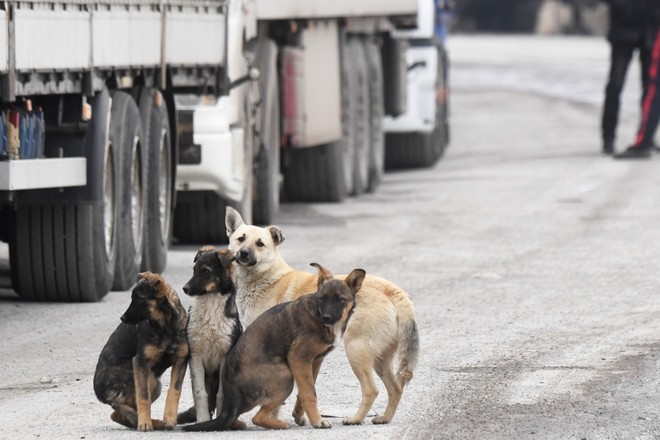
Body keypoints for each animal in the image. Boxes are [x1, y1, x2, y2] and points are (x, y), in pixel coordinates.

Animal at [91, 272, 188, 430]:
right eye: (132, 298)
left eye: (139, 299)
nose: (122, 318)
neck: (165, 326)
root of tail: (99, 394)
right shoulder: (140, 362)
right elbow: (143, 397)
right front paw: (144, 423)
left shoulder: (180, 361)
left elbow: (174, 391)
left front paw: (169, 418)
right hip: (147, 378)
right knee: (124, 411)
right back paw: (149, 422)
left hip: (155, 384)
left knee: (117, 415)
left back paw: (157, 423)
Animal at [177, 246, 244, 424]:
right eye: (194, 270)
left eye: (206, 271)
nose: (185, 289)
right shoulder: (195, 355)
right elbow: (200, 393)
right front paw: (202, 420)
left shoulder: (224, 356)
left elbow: (221, 394)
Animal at [182, 262, 366, 432]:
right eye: (322, 298)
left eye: (340, 300)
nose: (326, 318)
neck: (318, 313)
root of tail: (232, 396)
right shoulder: (299, 357)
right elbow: (309, 393)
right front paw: (317, 421)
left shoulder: (314, 361)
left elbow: (305, 389)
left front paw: (299, 415)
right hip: (285, 375)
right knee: (257, 417)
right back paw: (280, 424)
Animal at [223, 208, 418, 424]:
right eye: (241, 239)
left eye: (260, 243)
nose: (243, 253)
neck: (268, 276)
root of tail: (393, 291)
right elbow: (304, 389)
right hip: (380, 359)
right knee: (395, 389)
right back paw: (384, 418)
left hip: (357, 352)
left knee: (371, 390)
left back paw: (354, 419)